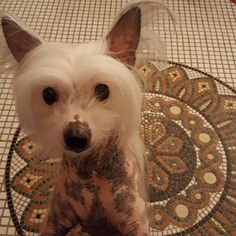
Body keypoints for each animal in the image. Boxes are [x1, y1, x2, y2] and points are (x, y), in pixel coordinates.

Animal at [0, 0, 172, 235]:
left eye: (102, 90)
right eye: (48, 94)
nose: (76, 137)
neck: (91, 175)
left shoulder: (135, 222)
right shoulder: (56, 219)